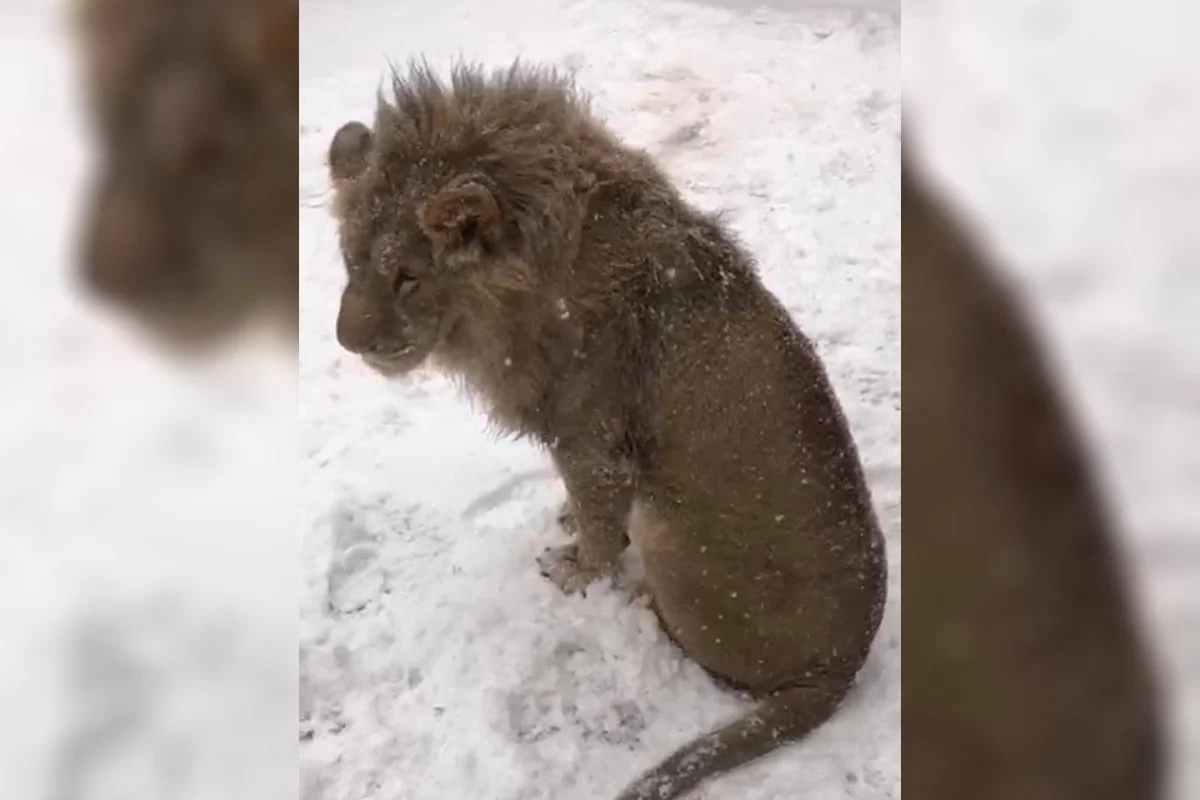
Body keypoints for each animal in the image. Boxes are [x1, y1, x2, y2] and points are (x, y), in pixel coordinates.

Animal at [328, 64, 892, 800]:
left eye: (408, 277)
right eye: (349, 262)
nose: (347, 341)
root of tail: (841, 668)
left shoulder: (589, 436)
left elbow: (600, 526)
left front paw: (574, 570)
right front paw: (567, 522)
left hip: (667, 528)